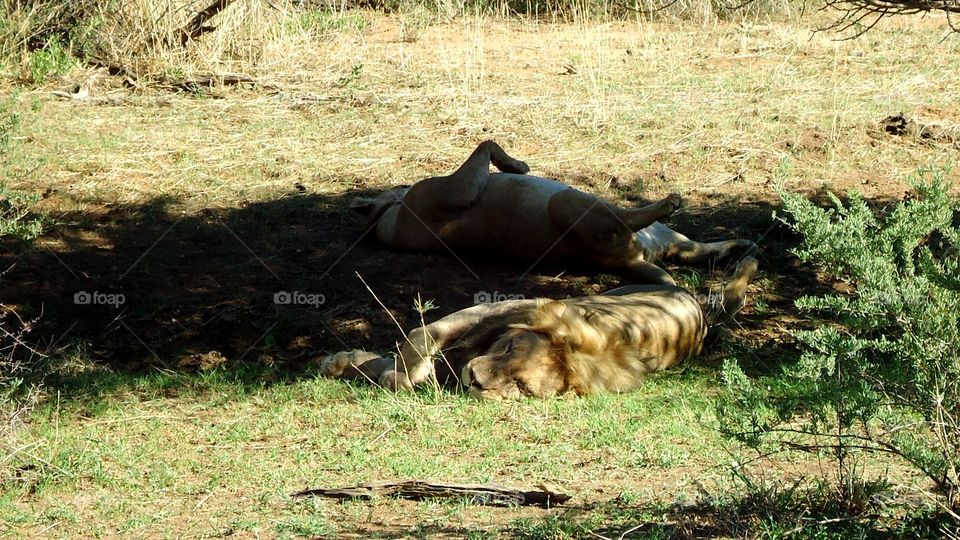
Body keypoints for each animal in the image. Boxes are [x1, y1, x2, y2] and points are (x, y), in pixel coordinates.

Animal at [319, 257, 759, 399]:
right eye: (510, 347)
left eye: (522, 386)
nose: (474, 380)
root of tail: (698, 314)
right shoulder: (497, 310)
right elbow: (417, 343)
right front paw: (342, 363)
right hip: (637, 287)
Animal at [350, 140, 756, 285]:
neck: (388, 216)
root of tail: (624, 261)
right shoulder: (457, 187)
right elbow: (486, 143)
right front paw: (516, 166)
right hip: (570, 203)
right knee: (632, 218)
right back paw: (670, 203)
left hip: (664, 238)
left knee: (698, 251)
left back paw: (740, 246)